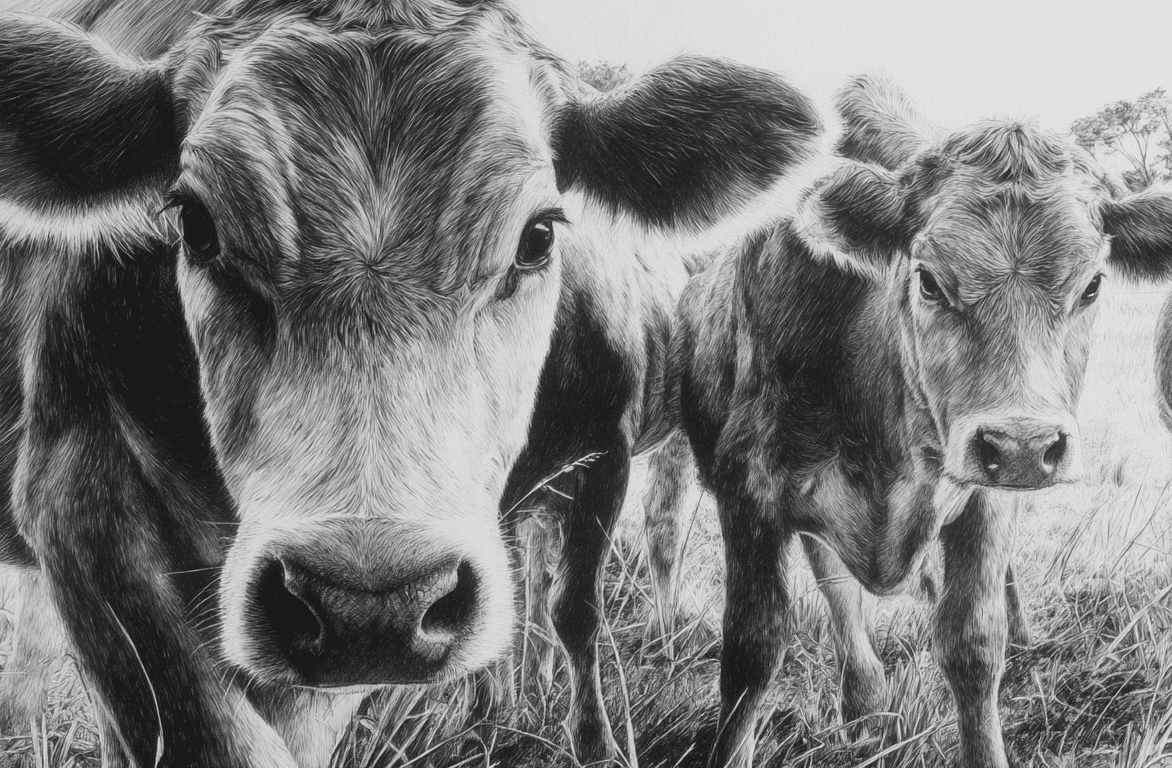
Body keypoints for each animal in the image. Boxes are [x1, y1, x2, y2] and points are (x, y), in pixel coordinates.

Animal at [0, 0, 824, 765]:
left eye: (539, 234)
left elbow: (568, 607)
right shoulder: (77, 494)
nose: (370, 606)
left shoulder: (596, 463)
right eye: (195, 224)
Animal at [668, 75, 1172, 768]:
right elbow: (752, 654)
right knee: (835, 586)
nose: (1023, 445)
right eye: (929, 281)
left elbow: (972, 646)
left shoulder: (985, 499)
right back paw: (865, 698)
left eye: (1092, 285)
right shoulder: (749, 492)